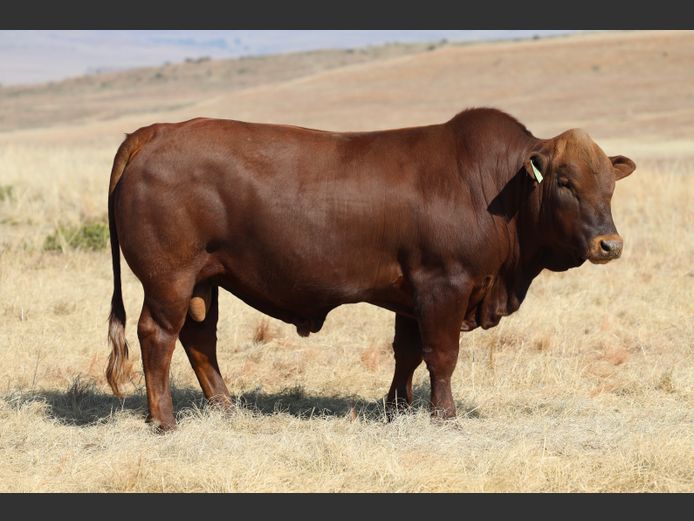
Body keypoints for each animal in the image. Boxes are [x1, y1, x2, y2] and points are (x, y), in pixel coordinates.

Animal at [105, 107, 635, 431]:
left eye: (610, 185)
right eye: (565, 182)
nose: (609, 244)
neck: (489, 187)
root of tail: (158, 130)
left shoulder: (412, 295)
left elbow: (408, 354)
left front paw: (396, 407)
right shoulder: (444, 284)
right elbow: (441, 355)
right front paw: (444, 414)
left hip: (204, 281)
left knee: (199, 339)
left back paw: (227, 408)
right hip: (170, 278)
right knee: (158, 335)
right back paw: (163, 420)